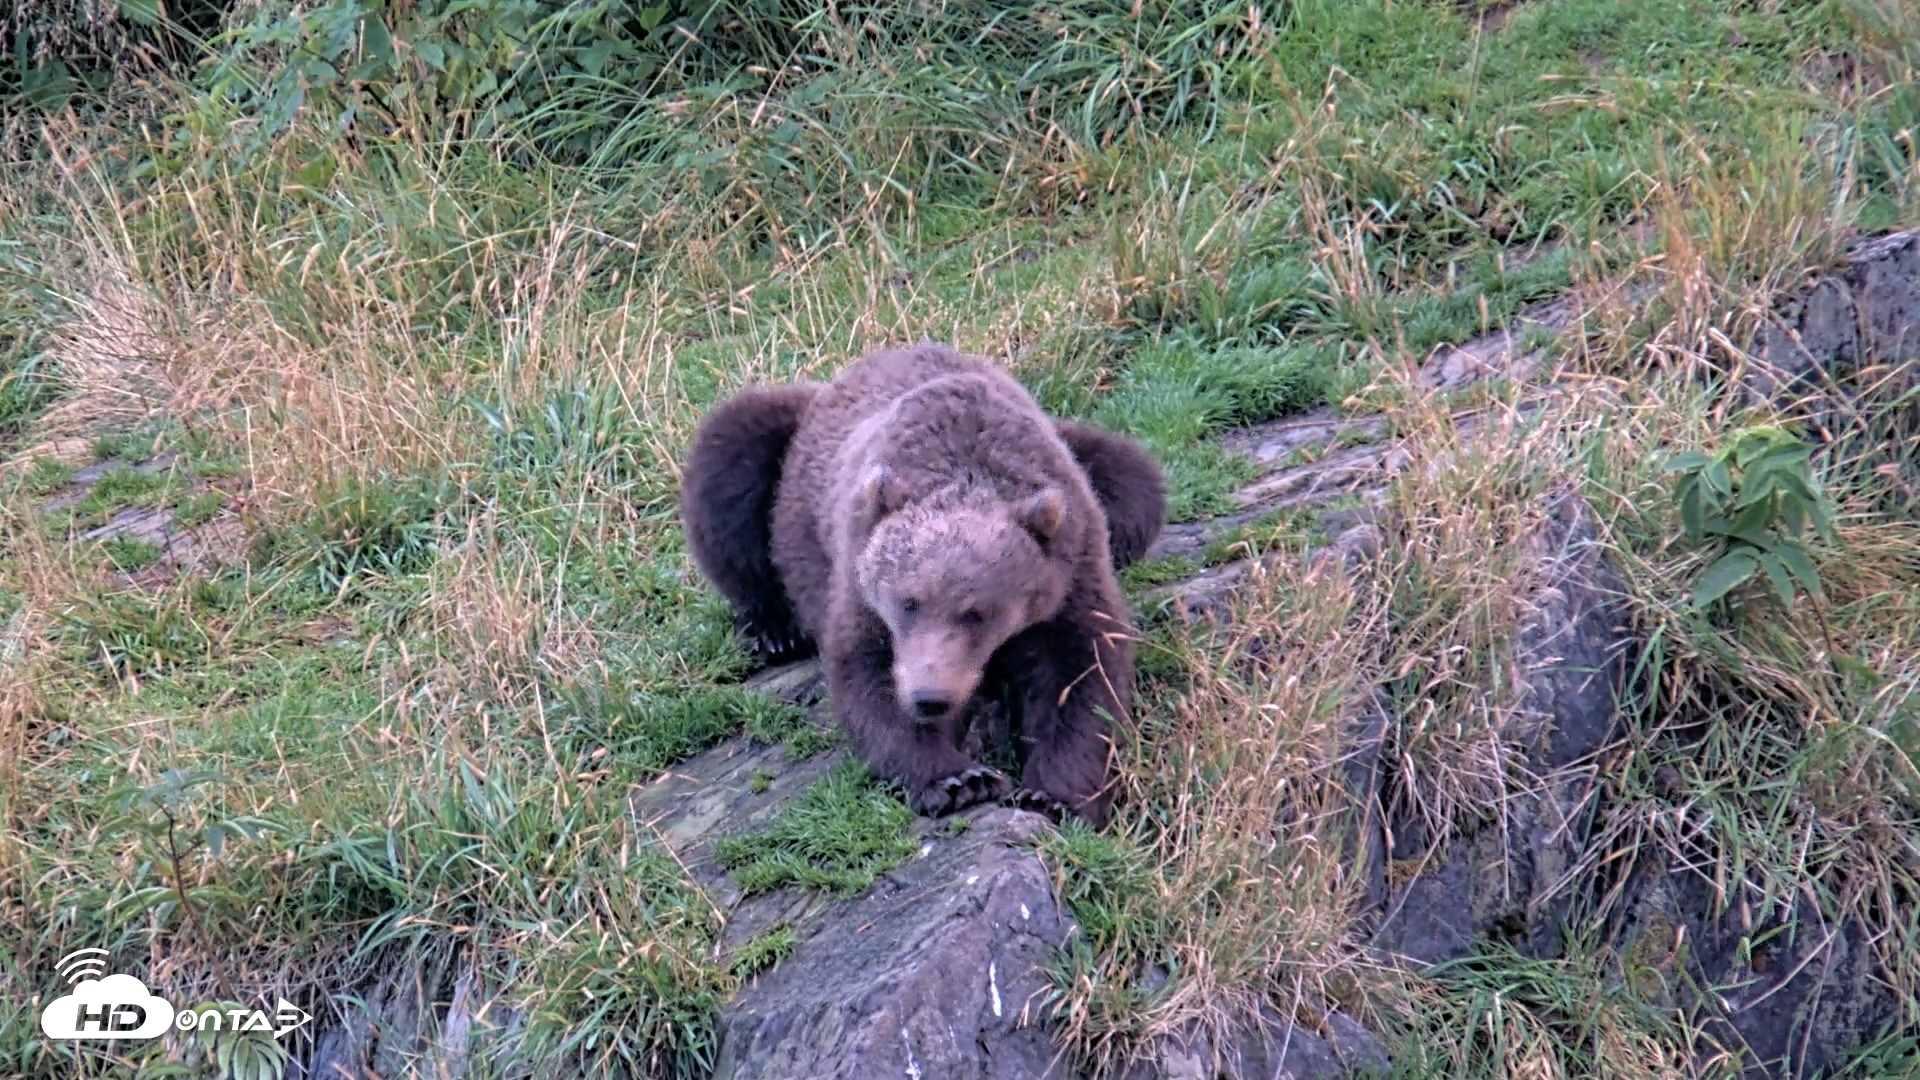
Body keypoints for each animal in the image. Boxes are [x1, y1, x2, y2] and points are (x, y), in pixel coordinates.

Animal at [678, 342, 1166, 828]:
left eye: (978, 612)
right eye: (908, 602)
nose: (931, 697)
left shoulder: (1070, 568)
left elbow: (1081, 676)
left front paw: (1052, 796)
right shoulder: (859, 575)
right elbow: (869, 673)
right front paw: (958, 779)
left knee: (1132, 477)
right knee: (730, 460)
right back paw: (775, 631)